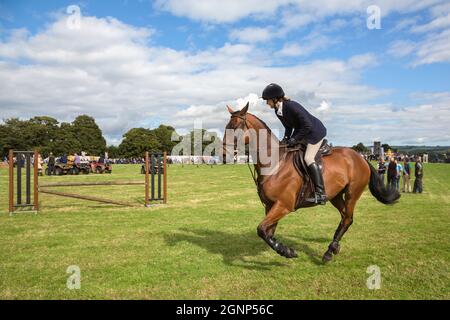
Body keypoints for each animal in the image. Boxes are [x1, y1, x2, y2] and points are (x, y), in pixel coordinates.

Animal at [223, 102, 400, 262]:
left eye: (235, 127)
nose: (224, 154)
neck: (275, 163)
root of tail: (360, 157)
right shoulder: (270, 206)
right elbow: (267, 232)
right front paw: (283, 249)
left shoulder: (283, 205)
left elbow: (261, 229)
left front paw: (288, 251)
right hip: (335, 195)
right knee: (345, 217)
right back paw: (333, 248)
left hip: (352, 193)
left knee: (348, 218)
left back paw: (328, 252)